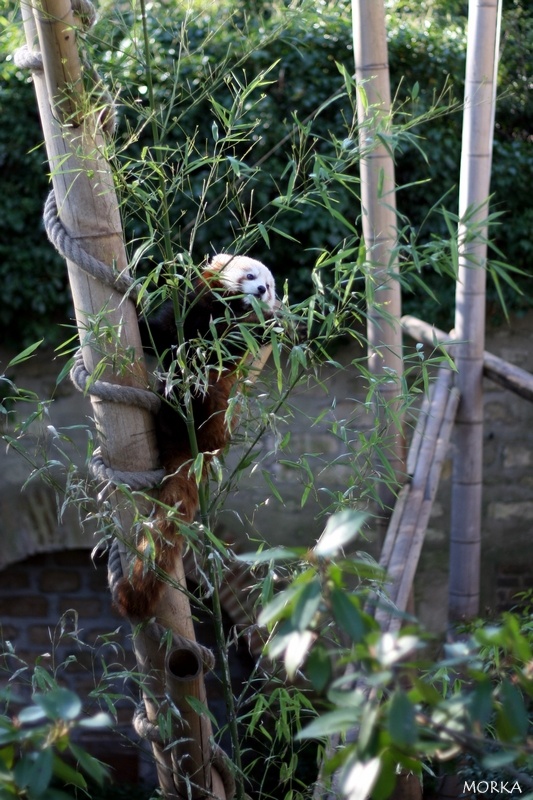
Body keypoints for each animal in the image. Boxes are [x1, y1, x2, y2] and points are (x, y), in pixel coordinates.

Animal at [114, 253, 276, 616]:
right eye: (250, 276)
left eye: (270, 286)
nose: (261, 290)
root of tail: (197, 447)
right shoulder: (185, 312)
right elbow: (158, 334)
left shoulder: (231, 340)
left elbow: (230, 345)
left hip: (217, 409)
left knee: (205, 390)